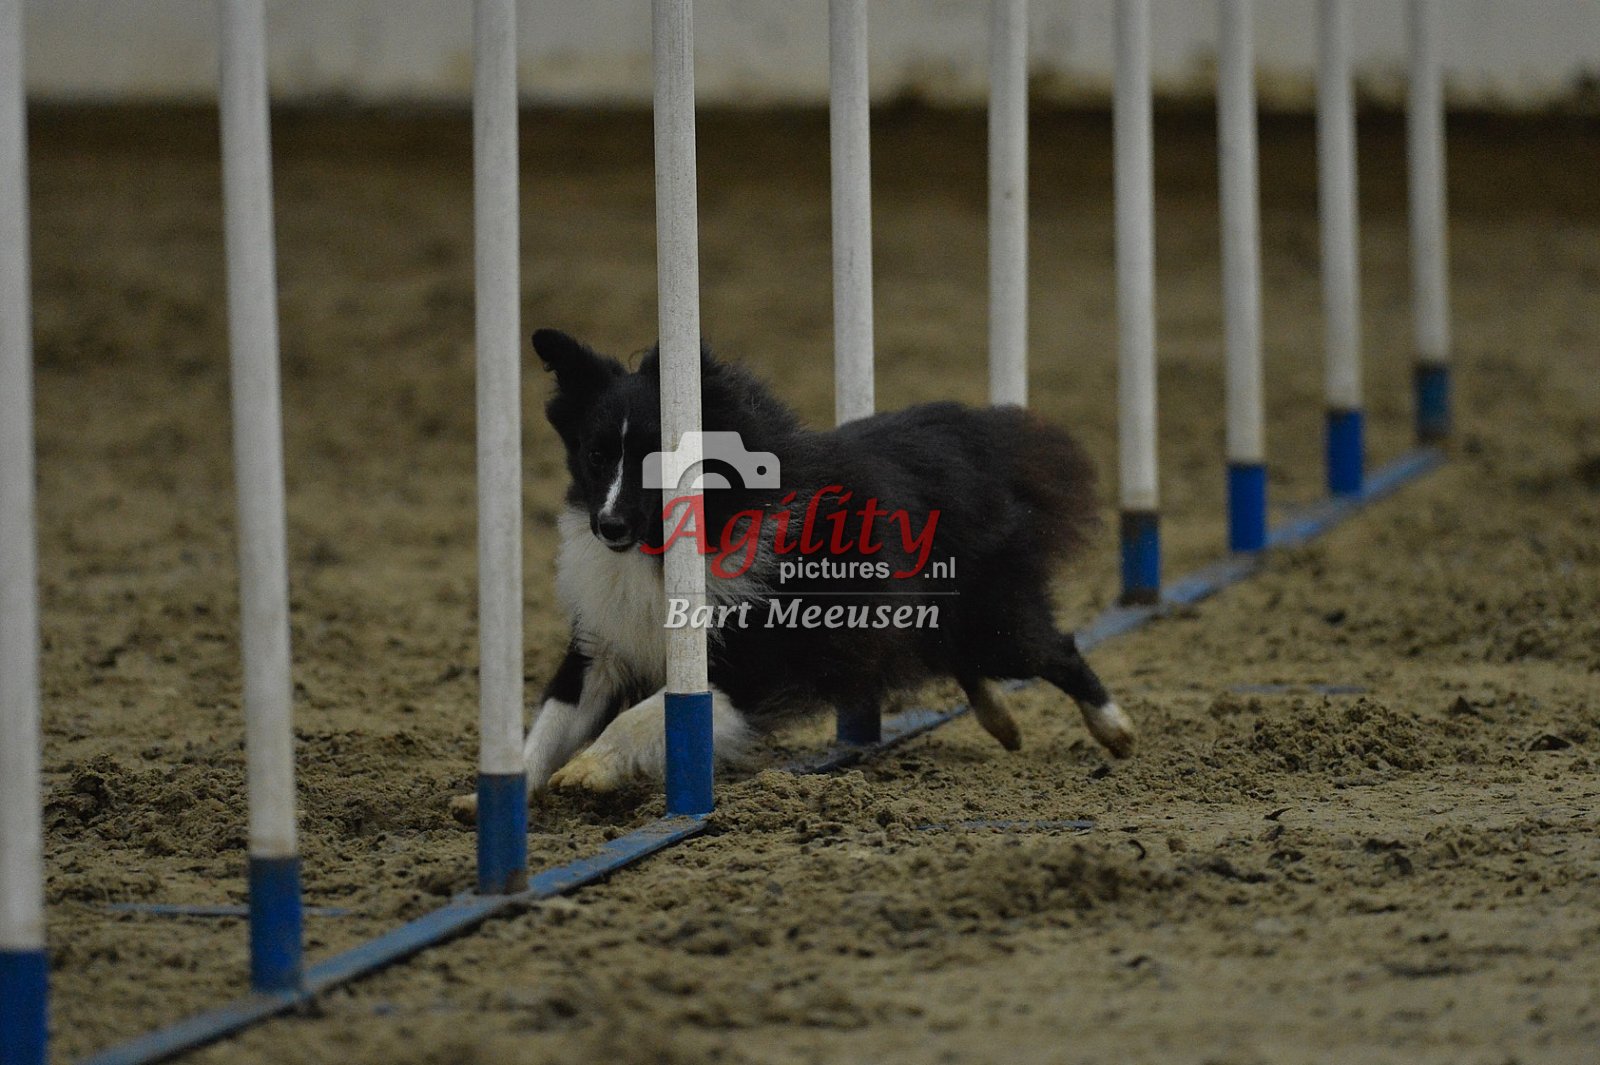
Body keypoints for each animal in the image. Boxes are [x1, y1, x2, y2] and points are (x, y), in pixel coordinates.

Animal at [524, 328, 1133, 793]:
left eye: (659, 460)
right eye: (595, 455)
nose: (610, 526)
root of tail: (970, 439)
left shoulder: (748, 663)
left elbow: (643, 715)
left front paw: (587, 769)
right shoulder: (603, 646)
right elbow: (550, 720)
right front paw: (511, 794)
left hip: (991, 616)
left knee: (1055, 650)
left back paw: (1117, 731)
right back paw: (1002, 720)